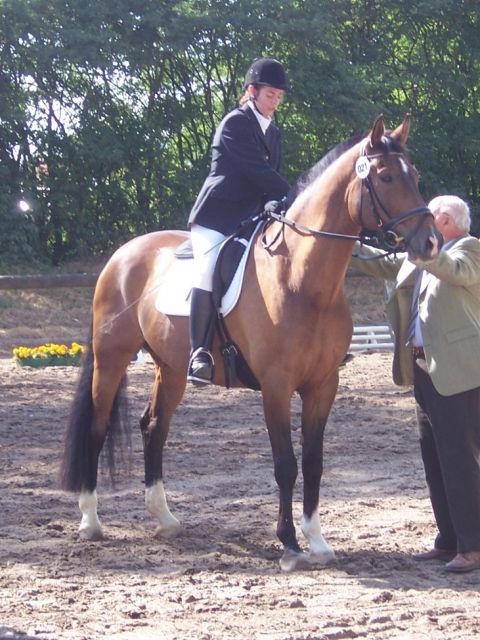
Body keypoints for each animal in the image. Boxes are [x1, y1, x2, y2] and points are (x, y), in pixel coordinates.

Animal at [60, 114, 442, 571]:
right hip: (111, 358)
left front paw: (317, 541)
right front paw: (290, 545)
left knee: (154, 426)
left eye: (414, 175)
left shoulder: (323, 384)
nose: (430, 243)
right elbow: (285, 464)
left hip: (171, 368)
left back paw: (165, 519)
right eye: (385, 177)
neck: (301, 278)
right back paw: (90, 520)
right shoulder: (276, 386)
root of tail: (121, 255)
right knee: (97, 427)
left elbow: (313, 462)